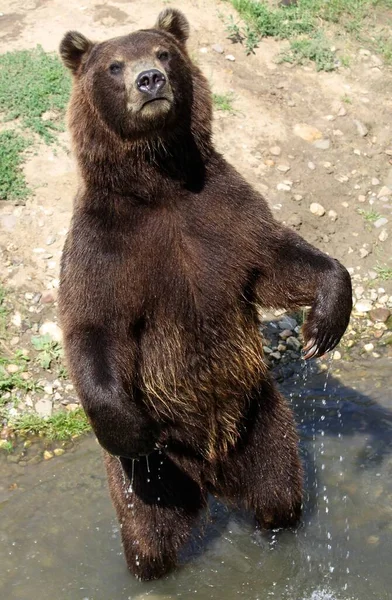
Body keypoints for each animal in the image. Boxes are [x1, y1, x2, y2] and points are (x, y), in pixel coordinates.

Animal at [59, 7, 352, 580]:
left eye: (163, 52)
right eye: (114, 64)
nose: (150, 81)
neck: (160, 184)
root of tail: (211, 470)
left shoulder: (223, 216)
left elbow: (277, 261)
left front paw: (323, 325)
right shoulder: (105, 248)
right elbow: (93, 326)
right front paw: (134, 430)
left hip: (262, 422)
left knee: (279, 491)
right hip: (157, 480)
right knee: (149, 535)